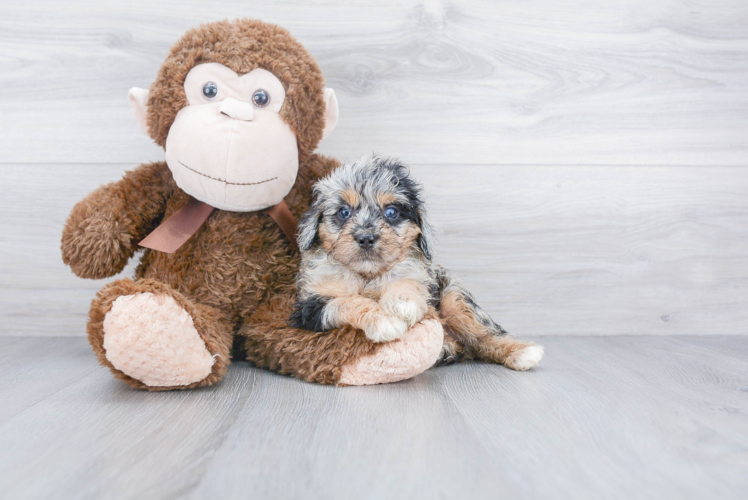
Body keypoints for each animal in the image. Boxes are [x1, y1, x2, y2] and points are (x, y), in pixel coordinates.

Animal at [290, 156, 540, 372]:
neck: (368, 275)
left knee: (484, 334)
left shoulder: (419, 275)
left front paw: (403, 301)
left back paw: (522, 352)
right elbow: (348, 301)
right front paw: (384, 320)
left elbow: (405, 282)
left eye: (391, 212)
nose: (366, 238)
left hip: (454, 297)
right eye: (344, 212)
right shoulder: (310, 308)